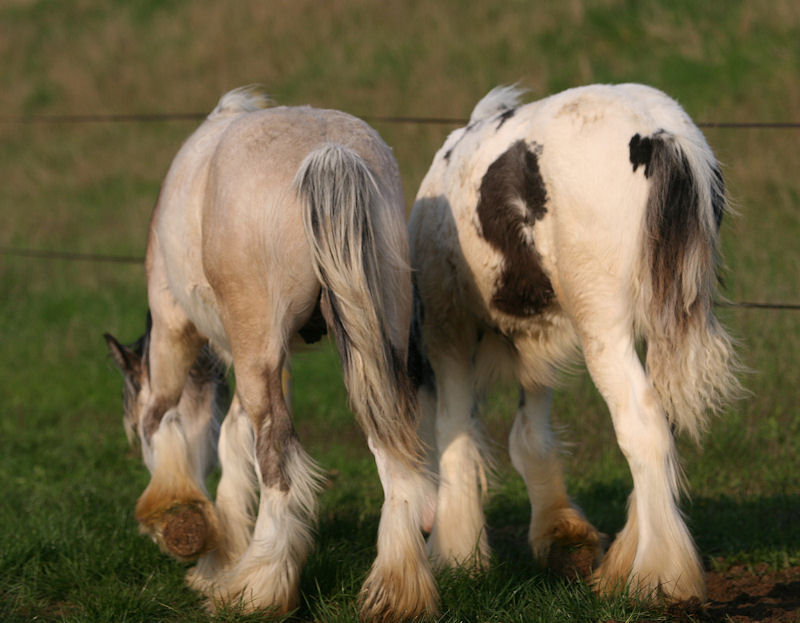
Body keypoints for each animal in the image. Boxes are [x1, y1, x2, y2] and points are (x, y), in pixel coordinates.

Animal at [104, 85, 438, 620]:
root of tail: (328, 151)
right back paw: (399, 589)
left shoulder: (177, 330)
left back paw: (259, 590)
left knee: (277, 456)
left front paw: (179, 520)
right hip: (374, 344)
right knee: (391, 449)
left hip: (255, 344)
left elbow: (165, 419)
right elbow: (231, 437)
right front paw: (219, 557)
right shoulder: (267, 364)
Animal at [412, 80, 744, 604]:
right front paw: (560, 534)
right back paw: (628, 561)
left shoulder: (448, 332)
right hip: (657, 324)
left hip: (602, 328)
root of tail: (661, 135)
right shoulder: (534, 341)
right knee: (662, 422)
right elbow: (529, 436)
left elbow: (454, 435)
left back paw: (659, 573)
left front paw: (456, 556)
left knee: (640, 422)